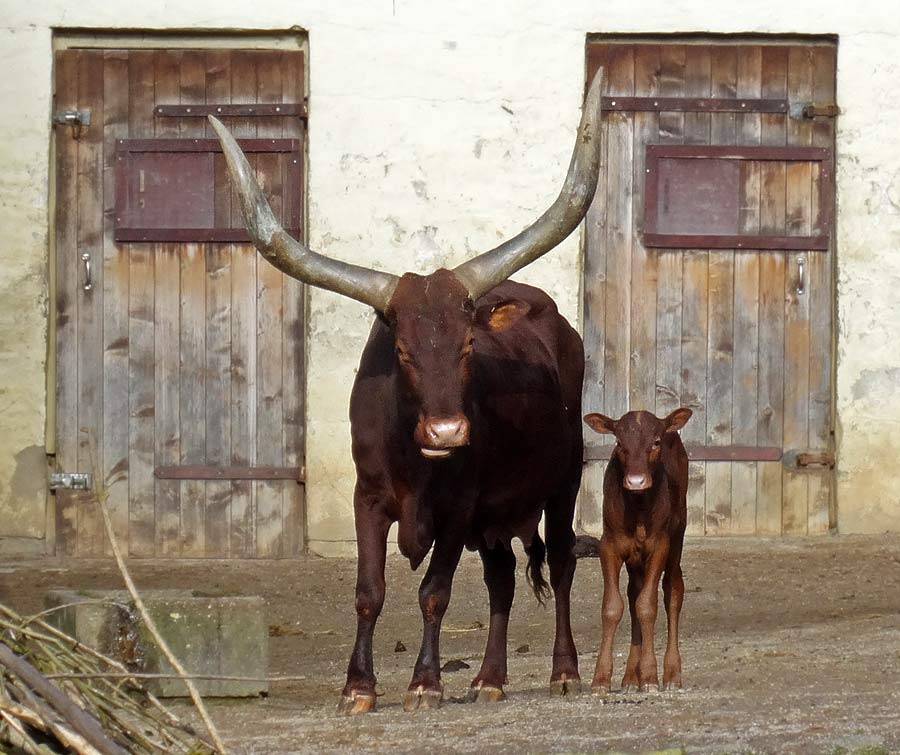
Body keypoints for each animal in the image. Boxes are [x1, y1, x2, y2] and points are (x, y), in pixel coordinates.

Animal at [209, 69, 604, 716]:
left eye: (467, 346)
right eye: (402, 351)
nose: (447, 431)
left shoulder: (459, 508)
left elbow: (434, 592)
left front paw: (424, 683)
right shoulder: (368, 498)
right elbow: (370, 591)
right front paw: (358, 687)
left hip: (563, 479)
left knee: (565, 561)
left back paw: (564, 671)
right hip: (495, 516)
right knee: (500, 577)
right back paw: (488, 679)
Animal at [580, 410, 692, 692]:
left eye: (655, 442)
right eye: (619, 443)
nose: (636, 481)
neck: (639, 507)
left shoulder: (660, 545)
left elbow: (648, 606)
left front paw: (651, 676)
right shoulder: (608, 544)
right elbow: (613, 606)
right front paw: (601, 678)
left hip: (678, 535)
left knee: (673, 589)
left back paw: (671, 674)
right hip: (635, 559)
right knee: (633, 593)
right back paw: (632, 676)